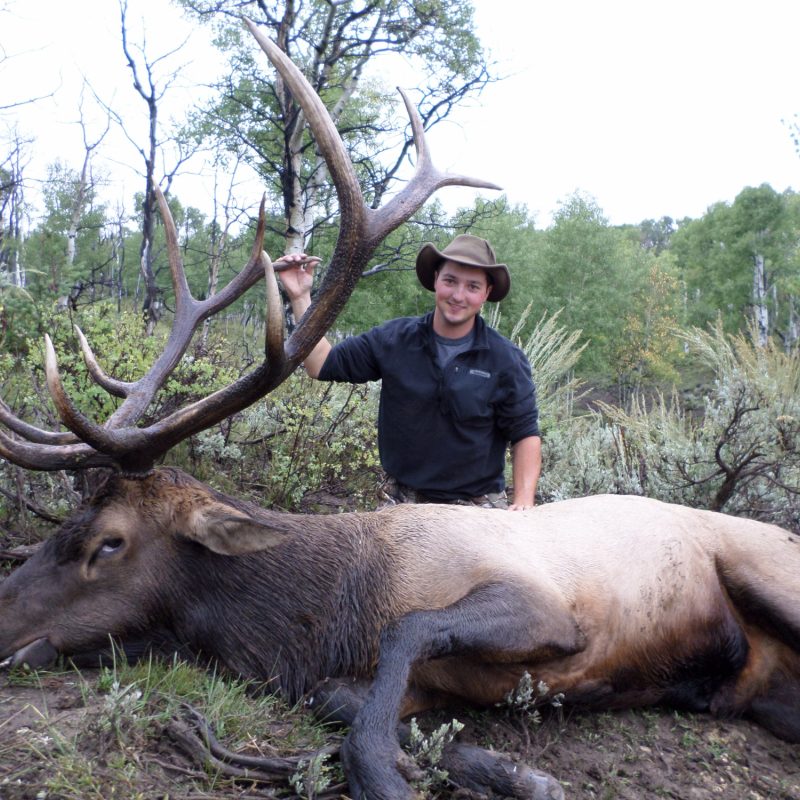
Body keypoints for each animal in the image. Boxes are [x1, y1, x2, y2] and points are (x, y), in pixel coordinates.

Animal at [0, 19, 799, 800]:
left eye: (109, 542)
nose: (2, 616)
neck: (331, 612)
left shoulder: (541, 604)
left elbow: (408, 632)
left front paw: (390, 771)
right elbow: (343, 696)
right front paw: (494, 769)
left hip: (764, 568)